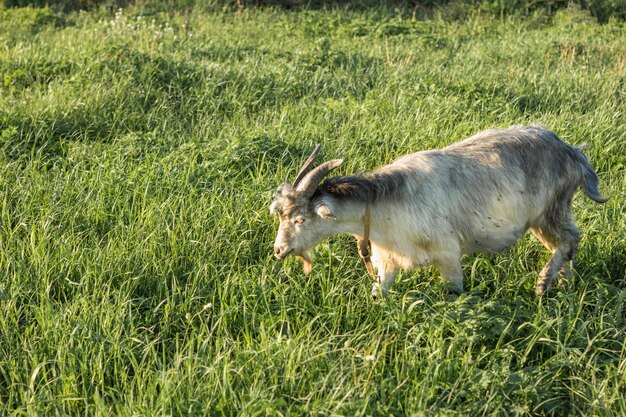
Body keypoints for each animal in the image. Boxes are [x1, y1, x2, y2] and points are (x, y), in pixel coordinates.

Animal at [266, 125, 604, 298]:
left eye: (300, 218)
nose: (278, 251)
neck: (384, 201)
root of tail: (573, 152)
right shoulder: (388, 262)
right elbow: (378, 293)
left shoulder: (447, 254)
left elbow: (454, 291)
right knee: (568, 245)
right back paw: (563, 284)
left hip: (550, 210)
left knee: (569, 240)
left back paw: (543, 283)